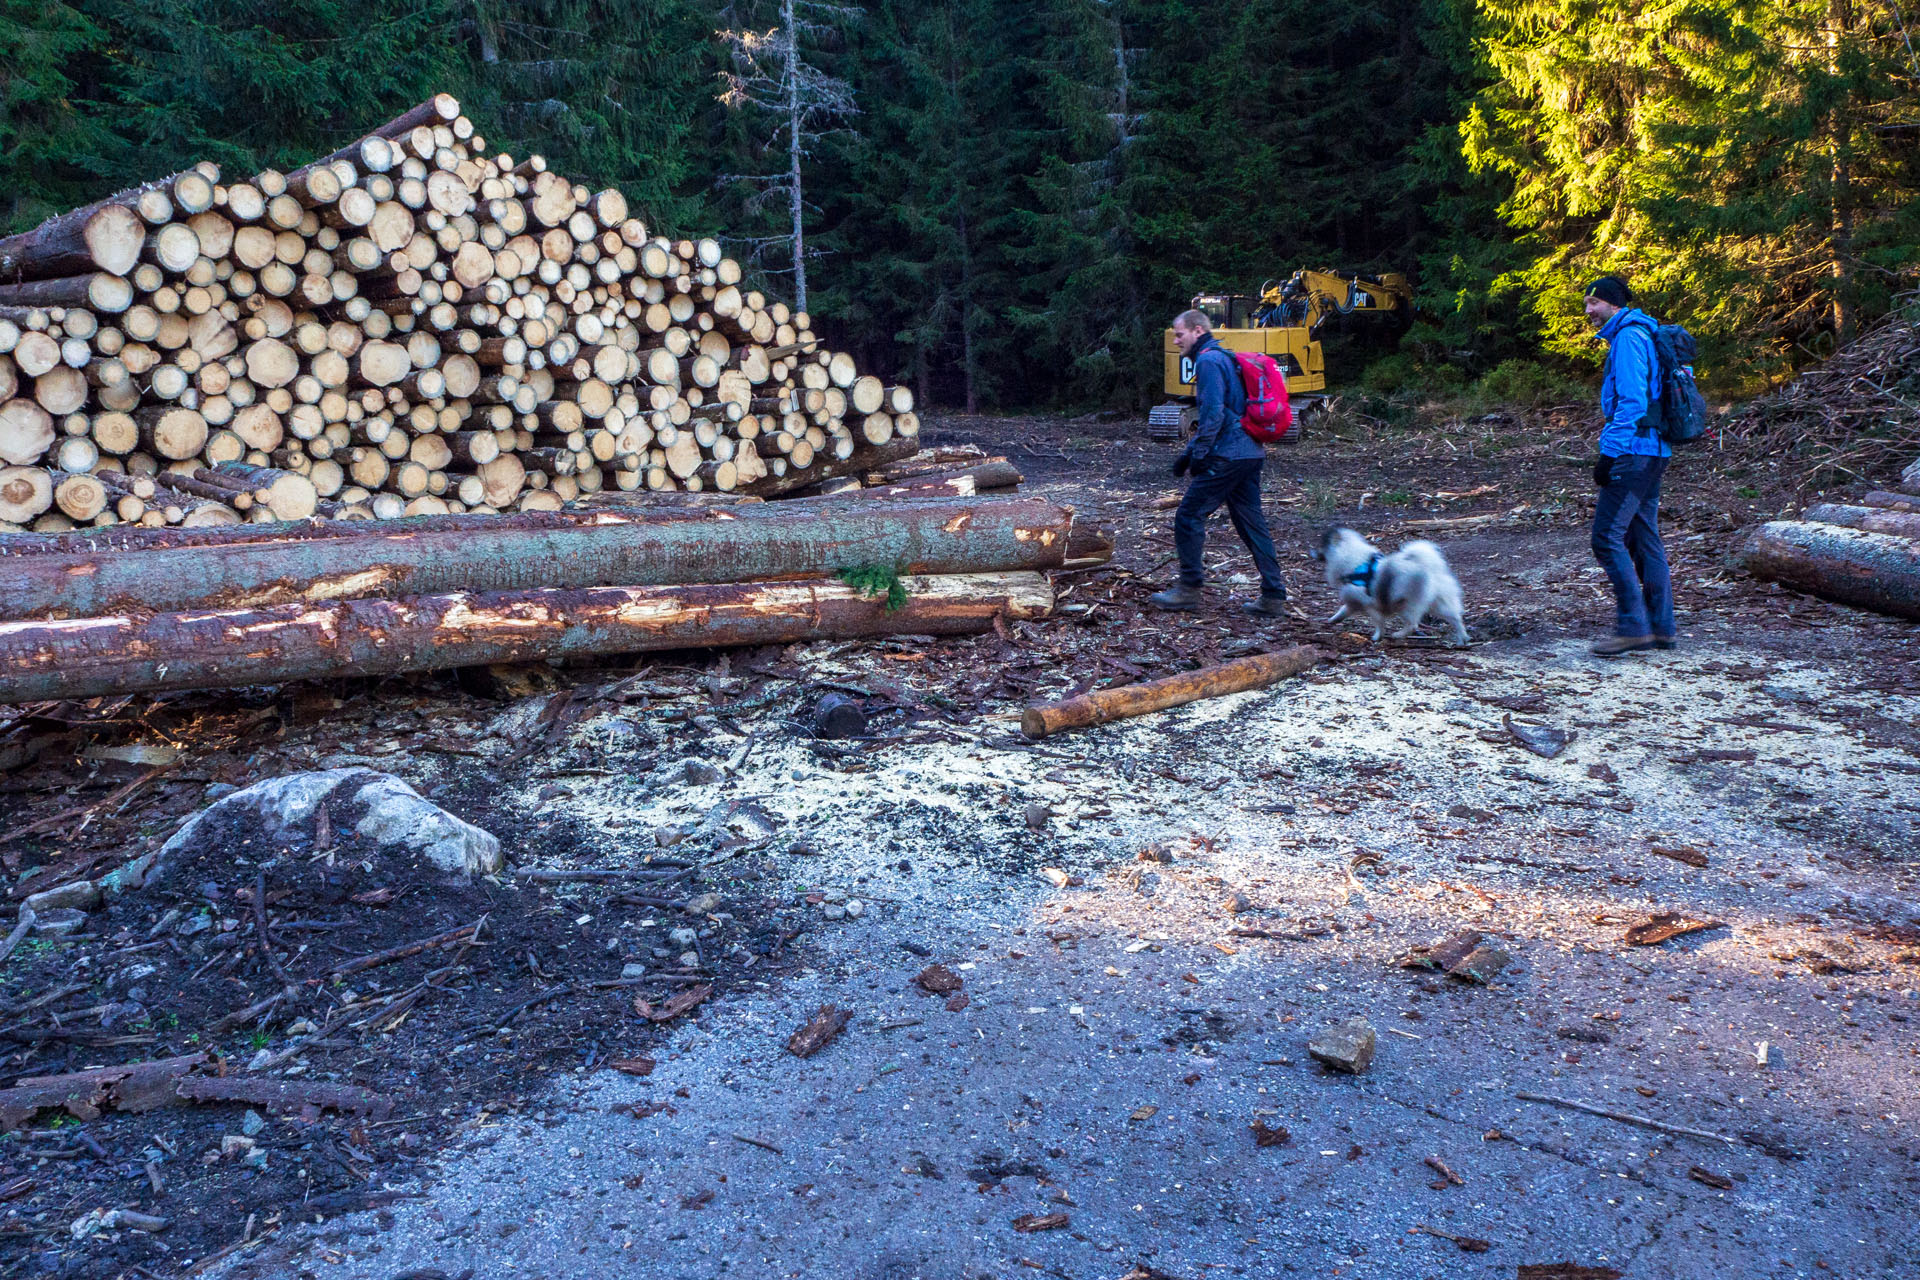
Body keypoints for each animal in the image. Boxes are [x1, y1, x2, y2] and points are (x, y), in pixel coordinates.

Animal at [1313, 525, 1474, 644]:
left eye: (1320, 546)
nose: (1311, 551)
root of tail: (1428, 568)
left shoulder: (1369, 604)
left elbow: (1378, 622)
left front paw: (1377, 637)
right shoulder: (1354, 601)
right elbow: (1342, 611)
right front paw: (1332, 620)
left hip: (1405, 604)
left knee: (1413, 624)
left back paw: (1398, 634)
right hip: (1438, 604)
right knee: (1455, 618)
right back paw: (1462, 638)